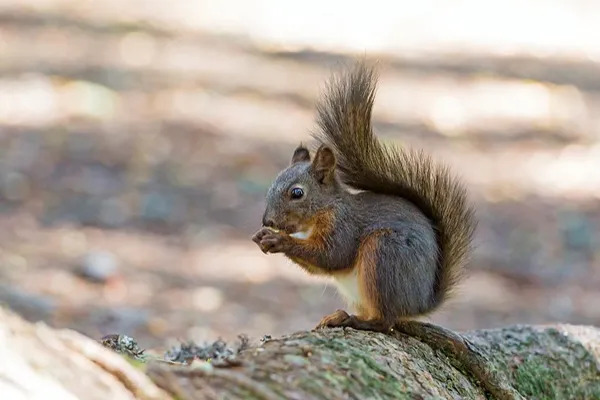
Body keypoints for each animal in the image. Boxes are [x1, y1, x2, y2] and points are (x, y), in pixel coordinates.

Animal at [251, 61, 476, 332]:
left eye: (297, 193)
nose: (268, 221)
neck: (327, 208)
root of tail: (420, 303)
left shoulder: (344, 227)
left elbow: (332, 256)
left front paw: (278, 239)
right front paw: (263, 236)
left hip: (384, 254)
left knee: (385, 321)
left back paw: (356, 321)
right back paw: (338, 316)